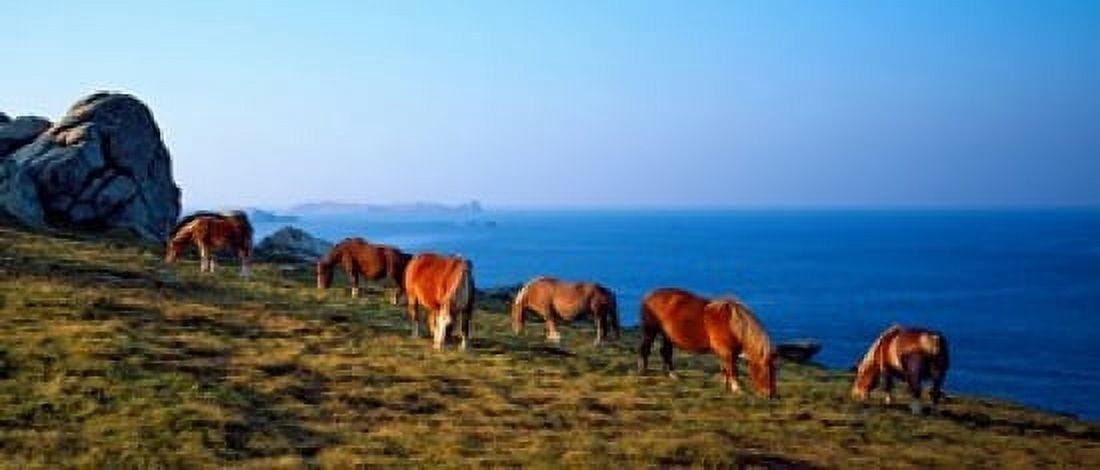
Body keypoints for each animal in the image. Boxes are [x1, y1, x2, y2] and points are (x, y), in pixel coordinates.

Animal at [638, 288, 777, 398]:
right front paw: (737, 389)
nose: (770, 395)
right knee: (645, 349)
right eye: (766, 370)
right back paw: (643, 371)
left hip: (667, 336)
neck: (733, 325)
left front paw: (725, 386)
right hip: (650, 330)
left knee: (666, 352)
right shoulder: (727, 352)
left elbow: (725, 369)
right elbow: (732, 369)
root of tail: (649, 296)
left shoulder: (725, 353)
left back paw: (671, 374)